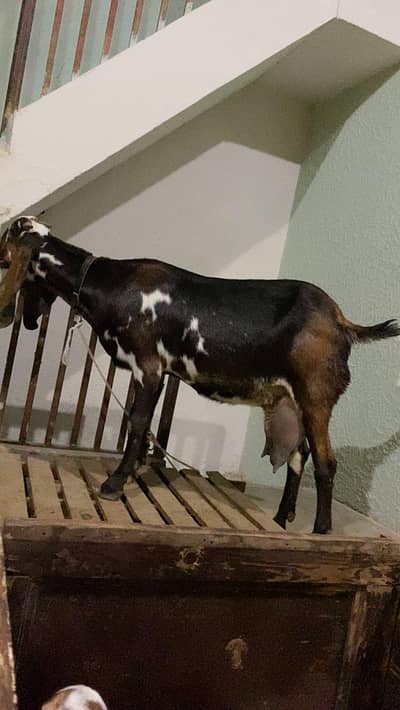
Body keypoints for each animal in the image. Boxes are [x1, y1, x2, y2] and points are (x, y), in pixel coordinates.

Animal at [0, 216, 398, 533]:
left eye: (5, 257)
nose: (25, 320)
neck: (111, 284)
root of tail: (342, 322)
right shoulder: (151, 371)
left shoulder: (148, 366)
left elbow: (138, 422)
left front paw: (114, 484)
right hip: (291, 401)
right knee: (297, 457)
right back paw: (280, 520)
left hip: (316, 397)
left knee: (325, 464)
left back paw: (320, 531)